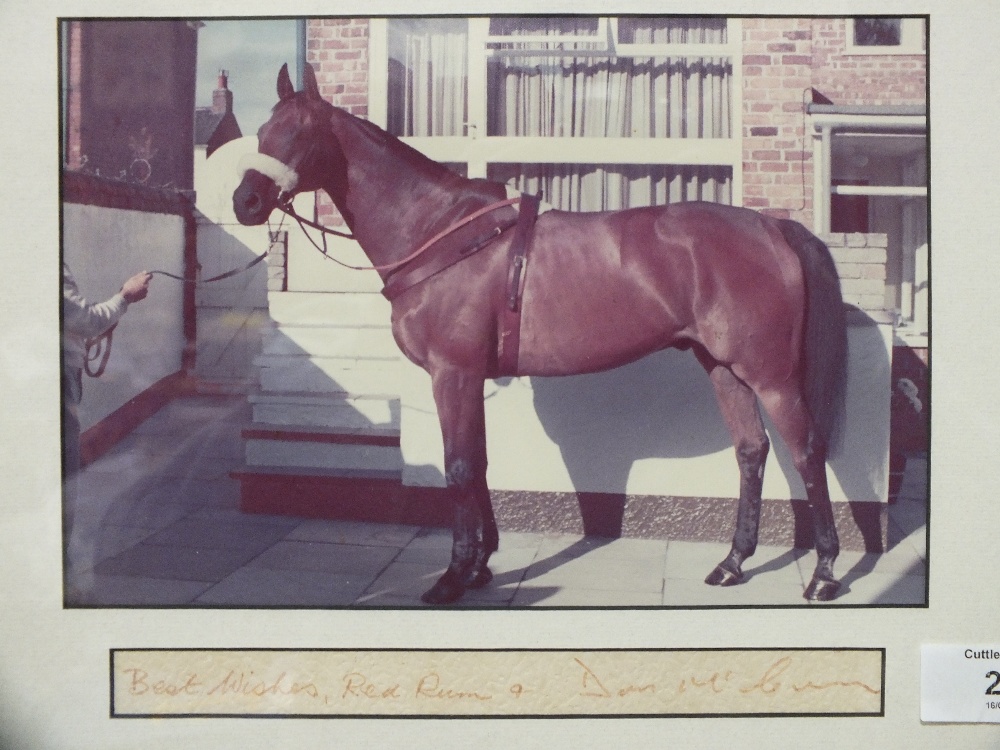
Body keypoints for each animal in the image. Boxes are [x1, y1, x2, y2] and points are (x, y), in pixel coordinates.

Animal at [236, 63, 852, 604]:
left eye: (300, 133)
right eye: (263, 132)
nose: (246, 201)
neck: (440, 231)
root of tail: (773, 226)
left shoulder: (452, 374)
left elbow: (459, 467)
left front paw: (453, 577)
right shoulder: (469, 379)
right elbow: (480, 462)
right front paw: (481, 565)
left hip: (771, 375)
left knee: (806, 451)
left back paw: (823, 573)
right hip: (723, 367)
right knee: (751, 451)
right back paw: (732, 563)